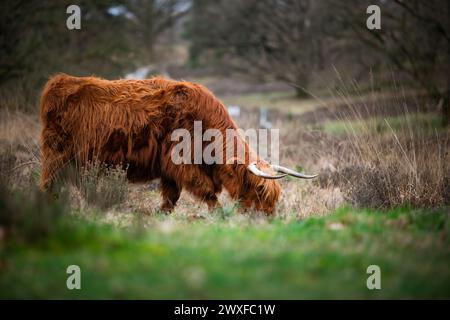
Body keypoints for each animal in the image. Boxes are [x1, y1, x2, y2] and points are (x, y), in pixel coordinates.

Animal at [39, 74, 316, 214]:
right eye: (258, 191)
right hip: (58, 153)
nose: (268, 218)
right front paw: (218, 216)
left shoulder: (169, 171)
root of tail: (58, 81)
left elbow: (171, 197)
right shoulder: (181, 163)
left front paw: (162, 216)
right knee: (50, 182)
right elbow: (207, 192)